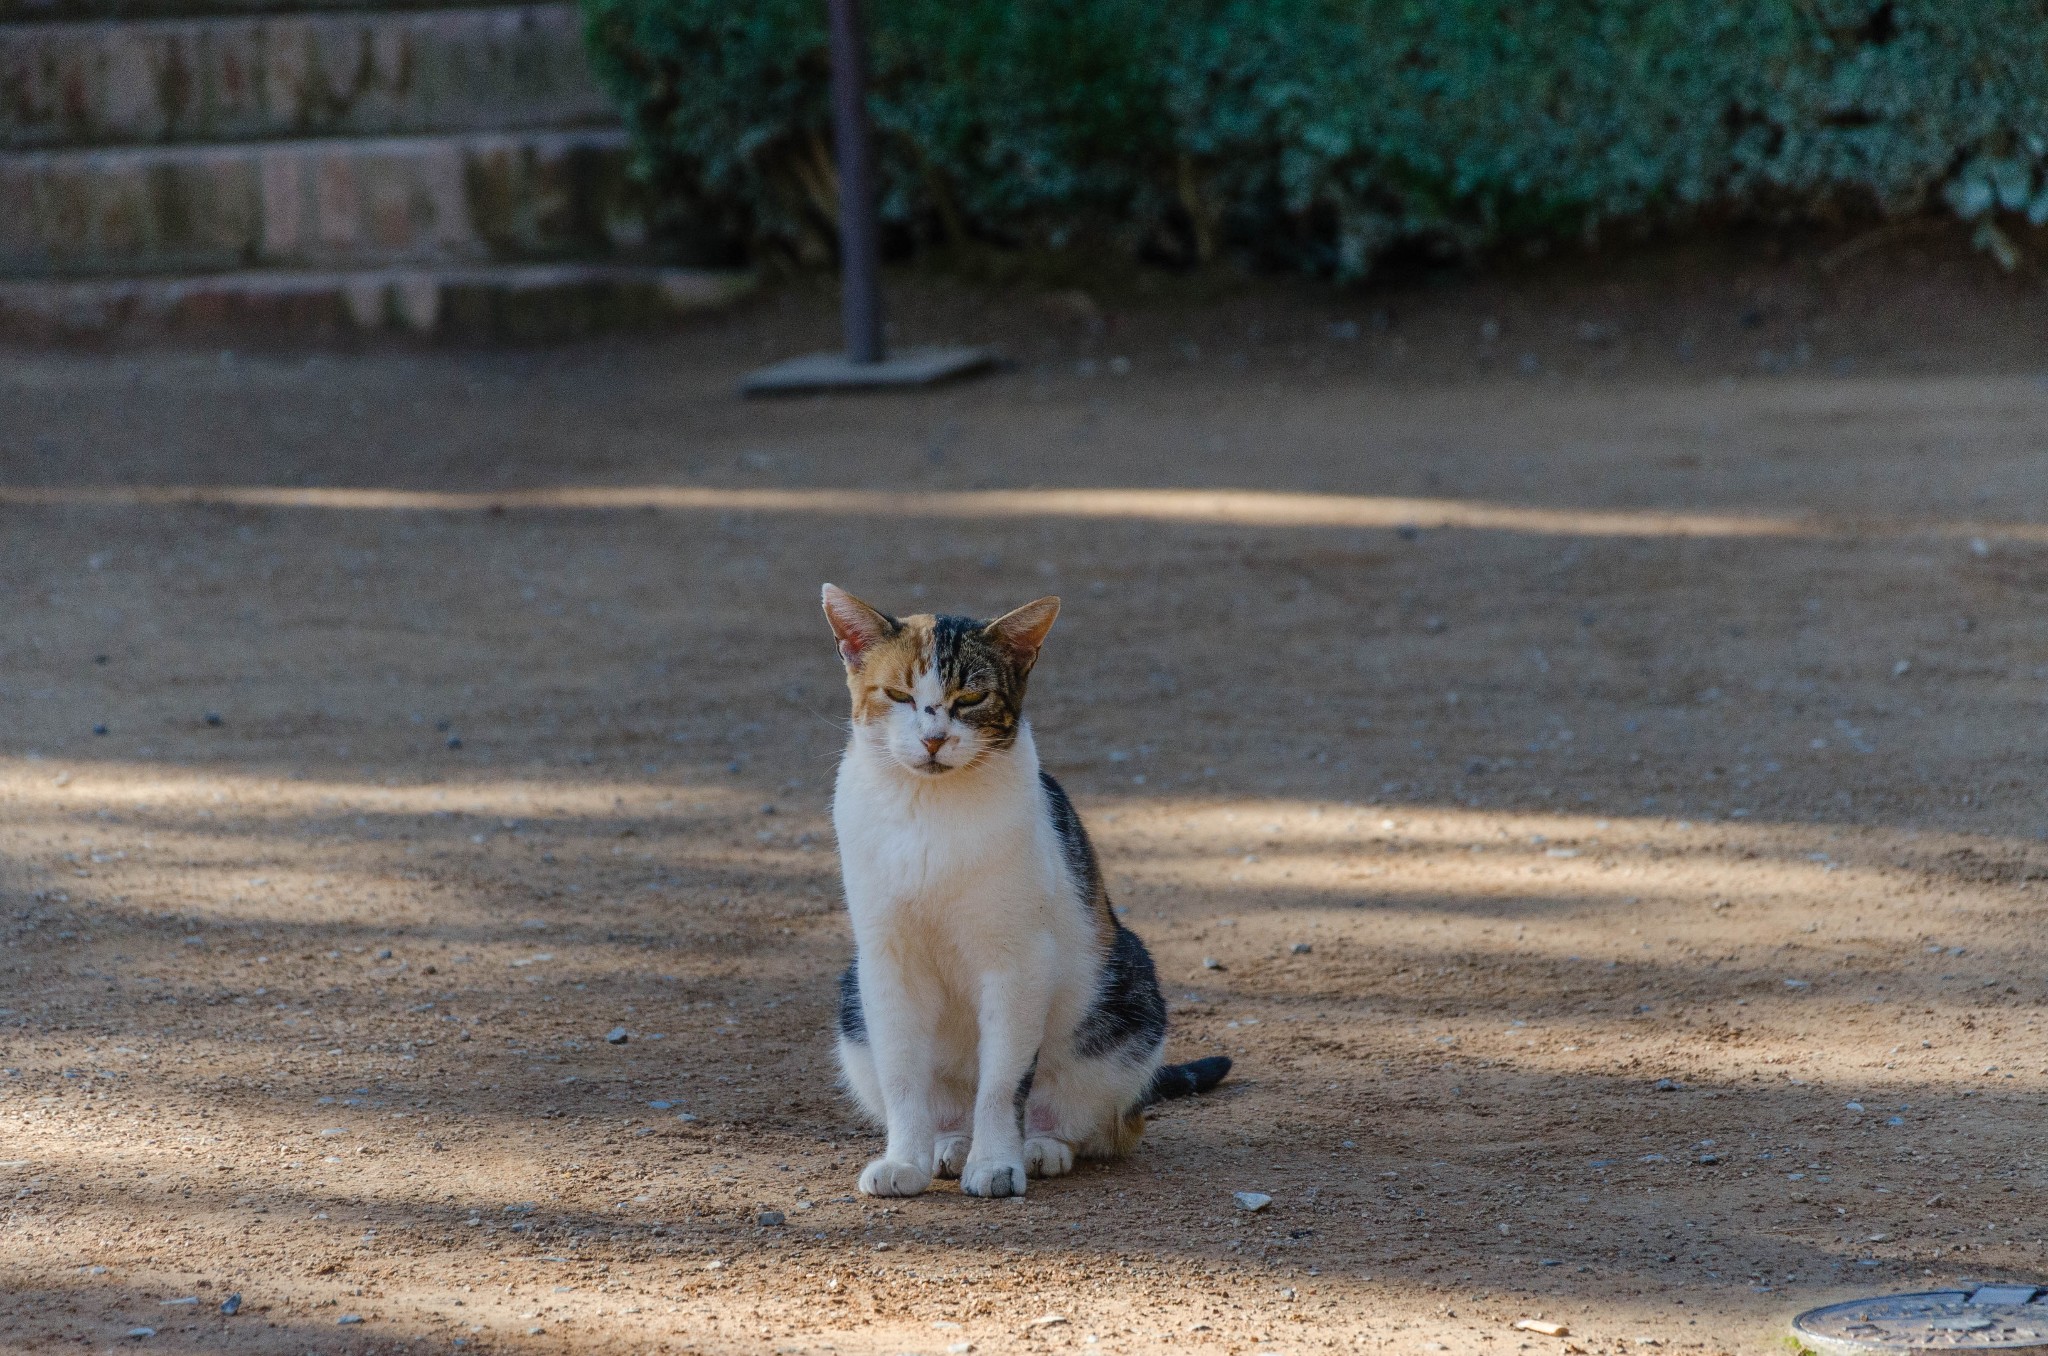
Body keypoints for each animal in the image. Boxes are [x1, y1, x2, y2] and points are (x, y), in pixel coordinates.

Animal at [819, 585, 1228, 1204]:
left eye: (971, 697)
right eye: (897, 695)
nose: (933, 739)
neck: (930, 813)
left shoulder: (1019, 960)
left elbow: (1003, 1081)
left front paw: (996, 1164)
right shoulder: (887, 960)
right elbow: (902, 1075)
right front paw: (904, 1161)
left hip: (1127, 995)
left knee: (1101, 1122)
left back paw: (1039, 1147)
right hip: (851, 997)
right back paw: (947, 1145)